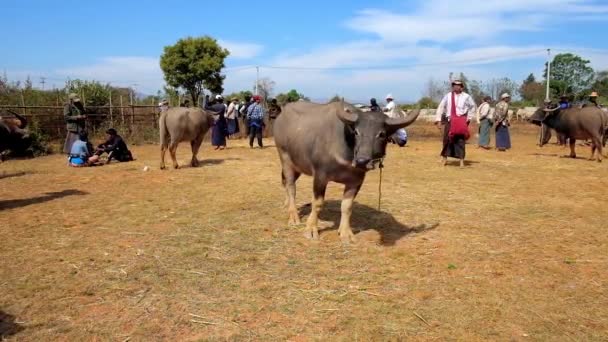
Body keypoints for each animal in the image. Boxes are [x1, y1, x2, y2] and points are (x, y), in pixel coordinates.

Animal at [274, 100, 420, 242]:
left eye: (381, 134)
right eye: (356, 132)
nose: (362, 161)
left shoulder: (356, 181)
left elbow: (347, 206)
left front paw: (345, 233)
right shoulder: (320, 176)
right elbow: (317, 203)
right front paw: (311, 229)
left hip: (297, 165)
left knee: (286, 183)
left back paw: (286, 204)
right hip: (285, 159)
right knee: (291, 187)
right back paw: (293, 216)